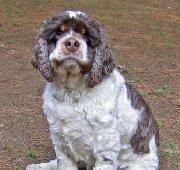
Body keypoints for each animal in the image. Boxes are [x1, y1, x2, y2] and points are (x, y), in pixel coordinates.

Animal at [27, 10, 159, 170]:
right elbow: (63, 163)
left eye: (86, 36)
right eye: (58, 32)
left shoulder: (106, 142)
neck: (72, 91)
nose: (72, 43)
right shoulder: (59, 137)